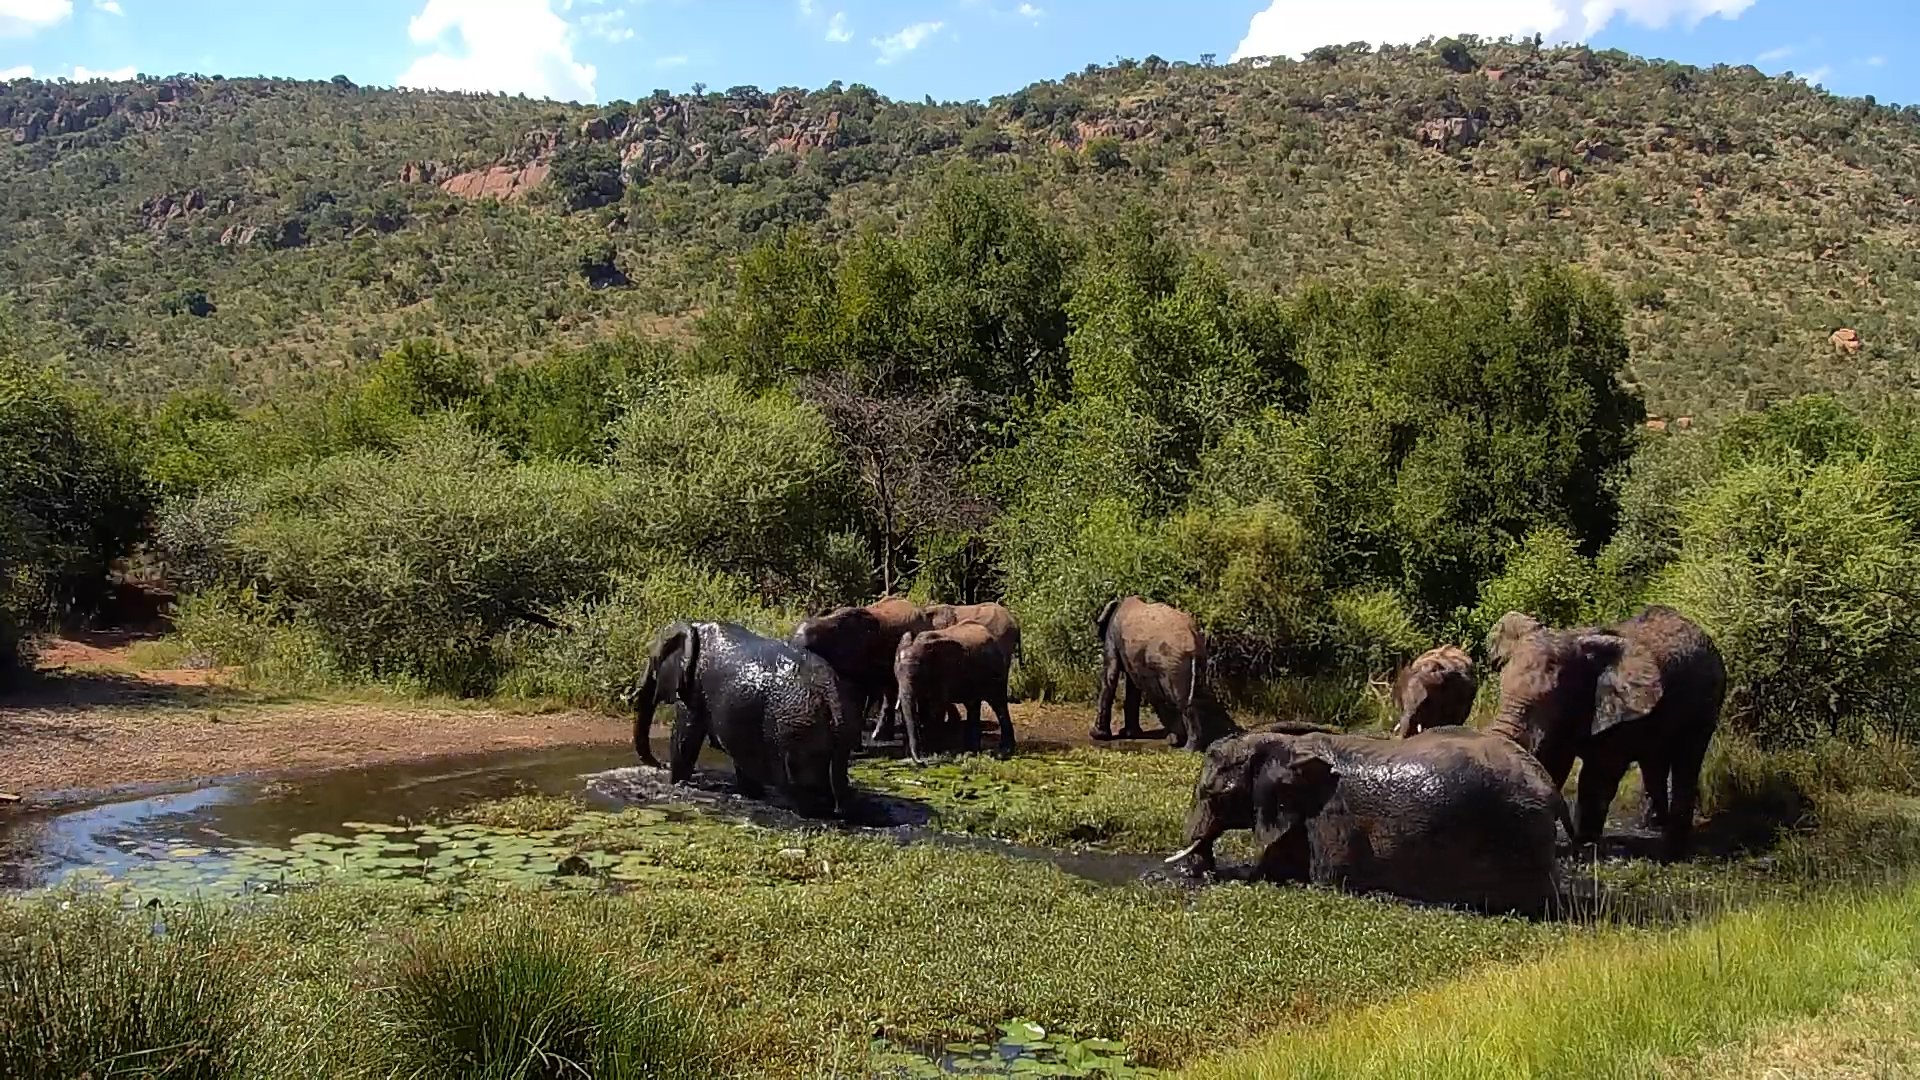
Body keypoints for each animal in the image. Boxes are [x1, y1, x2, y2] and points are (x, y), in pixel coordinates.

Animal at [633, 621, 861, 818]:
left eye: (652, 660)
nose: (661, 764)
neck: (695, 626)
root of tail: (830, 691)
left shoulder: (694, 689)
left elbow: (685, 738)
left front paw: (674, 783)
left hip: (795, 726)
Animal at [893, 621, 1018, 762]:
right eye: (896, 674)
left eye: (916, 676)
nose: (922, 762)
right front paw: (928, 753)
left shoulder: (944, 673)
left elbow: (935, 707)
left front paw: (934, 752)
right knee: (972, 705)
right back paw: (972, 751)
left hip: (997, 669)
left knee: (998, 704)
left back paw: (1004, 752)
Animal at [1092, 596, 1237, 750]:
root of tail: (1192, 640)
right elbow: (1133, 684)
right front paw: (1129, 733)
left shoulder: (1112, 636)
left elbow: (1111, 675)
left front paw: (1097, 735)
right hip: (1193, 660)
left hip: (1171, 663)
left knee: (1177, 699)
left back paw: (1185, 748)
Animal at [1483, 604, 1726, 859]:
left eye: (1550, 698)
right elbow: (1555, 764)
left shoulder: (1619, 714)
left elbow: (1598, 774)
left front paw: (1584, 848)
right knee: (1654, 760)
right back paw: (1651, 825)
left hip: (1705, 705)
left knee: (1687, 760)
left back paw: (1673, 850)